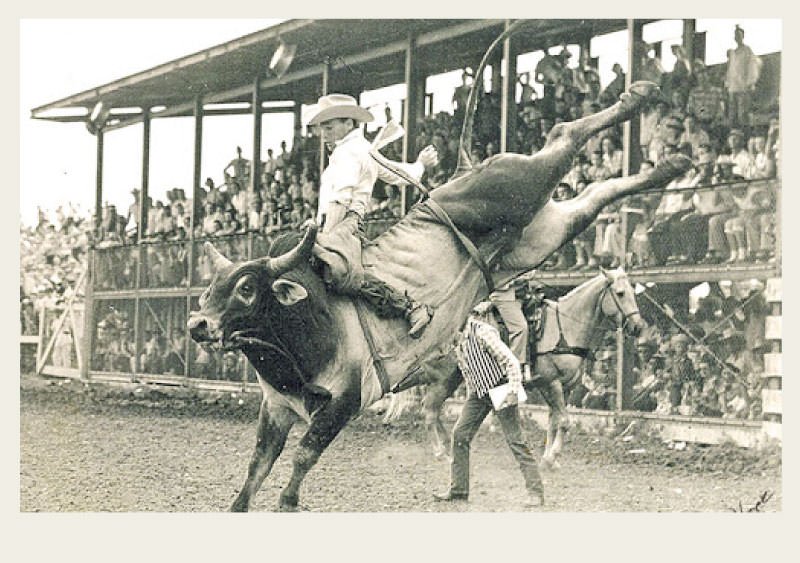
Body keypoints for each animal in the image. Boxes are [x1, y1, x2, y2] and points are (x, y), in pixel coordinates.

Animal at [189, 72, 692, 508]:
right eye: (209, 287)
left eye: (247, 287)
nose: (197, 324)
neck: (306, 328)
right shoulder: (275, 409)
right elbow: (256, 469)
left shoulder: (344, 405)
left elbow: (302, 456)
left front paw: (289, 501)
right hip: (539, 234)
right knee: (591, 194)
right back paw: (668, 162)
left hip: (515, 186)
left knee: (564, 134)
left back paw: (645, 103)